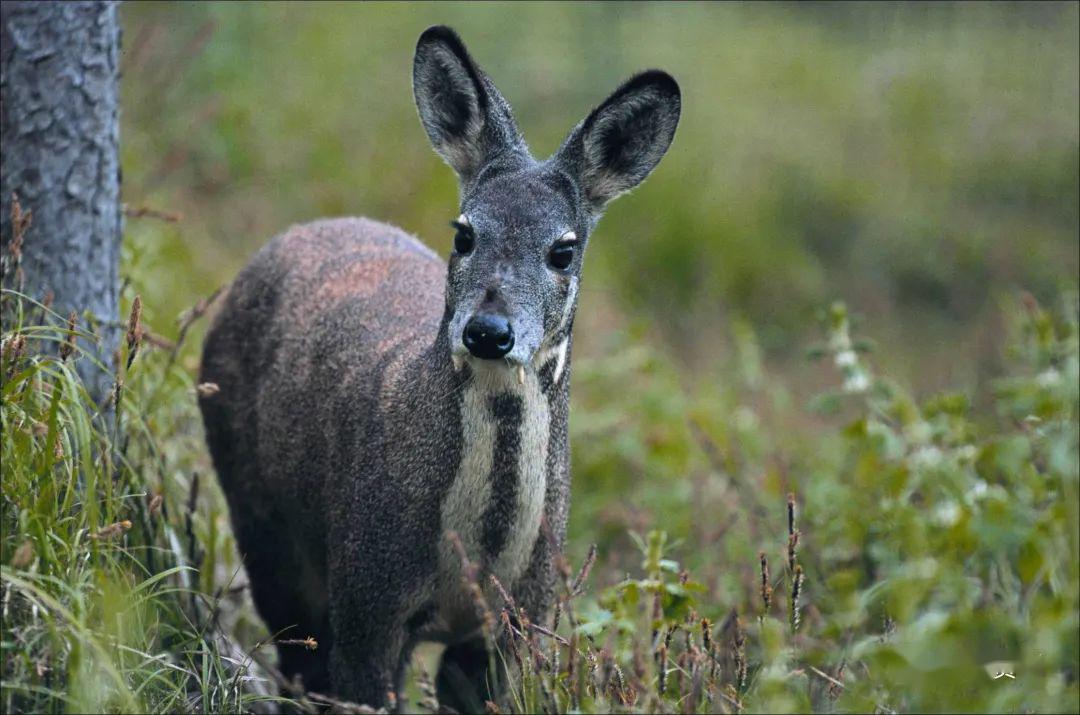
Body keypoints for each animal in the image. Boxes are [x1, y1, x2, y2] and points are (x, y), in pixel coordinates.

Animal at [198, 25, 678, 712]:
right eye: (464, 233)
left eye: (563, 250)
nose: (489, 331)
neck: (476, 558)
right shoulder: (367, 598)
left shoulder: (519, 620)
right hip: (260, 519)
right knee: (296, 656)